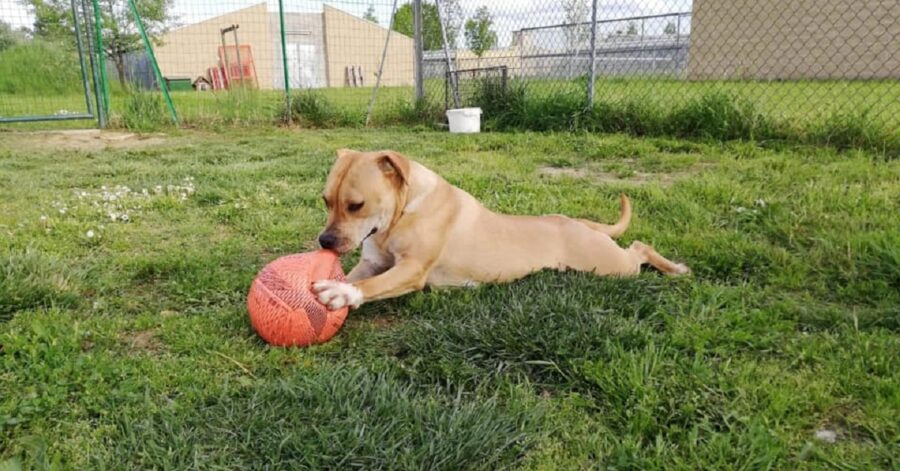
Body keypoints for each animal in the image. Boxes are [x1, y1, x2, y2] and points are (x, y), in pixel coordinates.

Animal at [312, 149, 688, 312]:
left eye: (356, 205)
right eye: (326, 200)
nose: (325, 241)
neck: (403, 211)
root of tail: (575, 222)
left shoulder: (412, 269)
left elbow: (370, 285)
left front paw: (342, 293)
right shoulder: (373, 261)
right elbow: (358, 274)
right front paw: (339, 283)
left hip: (611, 267)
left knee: (639, 247)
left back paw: (676, 268)